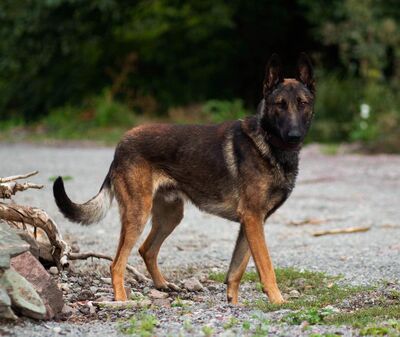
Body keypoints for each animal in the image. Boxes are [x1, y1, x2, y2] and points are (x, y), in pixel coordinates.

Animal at [53, 53, 316, 304]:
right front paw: (278, 301)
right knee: (117, 263)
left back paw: (162, 285)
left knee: (146, 250)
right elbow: (266, 267)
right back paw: (121, 300)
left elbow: (236, 270)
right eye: (280, 105)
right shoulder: (253, 220)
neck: (269, 143)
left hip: (171, 215)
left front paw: (234, 303)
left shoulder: (252, 223)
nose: (294, 136)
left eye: (302, 104)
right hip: (138, 214)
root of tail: (120, 146)